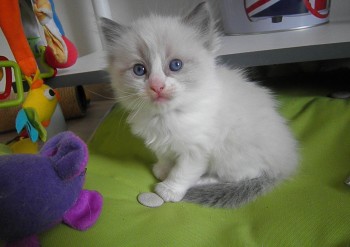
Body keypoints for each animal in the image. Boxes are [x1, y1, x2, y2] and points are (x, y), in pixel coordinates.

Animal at [100, 2, 298, 206]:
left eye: (176, 65)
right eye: (139, 70)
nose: (157, 86)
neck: (166, 117)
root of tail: (284, 163)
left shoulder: (196, 149)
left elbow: (181, 172)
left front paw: (169, 189)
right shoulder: (160, 142)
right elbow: (164, 156)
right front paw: (162, 170)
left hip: (232, 152)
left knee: (243, 175)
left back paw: (202, 181)